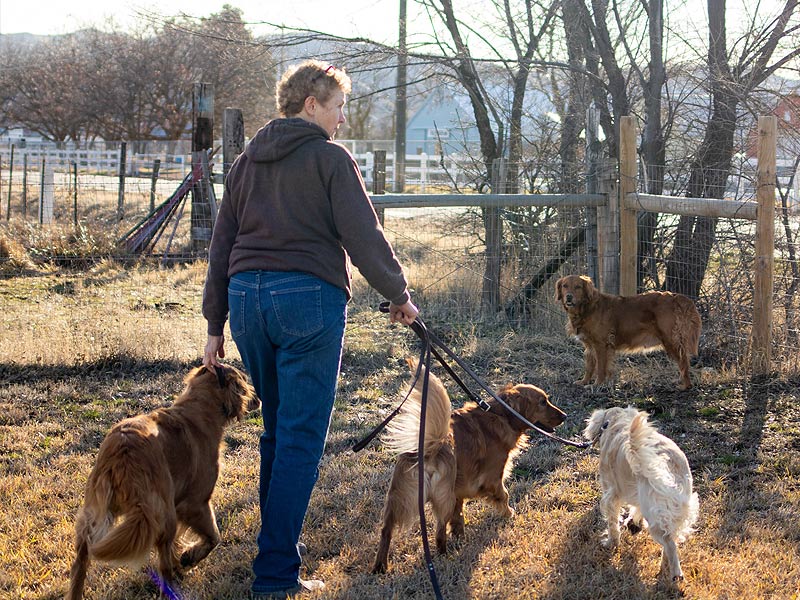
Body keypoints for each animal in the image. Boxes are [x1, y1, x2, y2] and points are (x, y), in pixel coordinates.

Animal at [67, 364, 260, 596]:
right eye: (244, 381)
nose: (258, 398)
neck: (200, 406)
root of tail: (122, 452)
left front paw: (182, 562)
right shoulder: (196, 503)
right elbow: (214, 536)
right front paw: (188, 559)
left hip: (98, 511)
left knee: (82, 557)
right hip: (162, 514)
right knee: (163, 564)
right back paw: (171, 588)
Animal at [372, 358, 564, 576]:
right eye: (543, 401)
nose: (565, 416)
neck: (500, 415)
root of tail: (429, 448)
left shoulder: (459, 490)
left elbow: (459, 516)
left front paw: (460, 535)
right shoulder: (492, 478)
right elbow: (504, 495)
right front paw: (509, 514)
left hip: (399, 498)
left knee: (386, 530)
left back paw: (380, 566)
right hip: (443, 497)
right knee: (439, 533)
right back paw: (444, 556)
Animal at [556, 276, 700, 390]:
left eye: (578, 287)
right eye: (565, 286)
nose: (569, 296)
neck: (587, 308)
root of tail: (675, 296)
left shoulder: (601, 345)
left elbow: (601, 368)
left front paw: (597, 384)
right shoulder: (589, 346)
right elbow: (589, 367)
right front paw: (584, 382)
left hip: (670, 340)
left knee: (684, 361)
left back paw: (685, 386)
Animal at [580, 406, 700, 584]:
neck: (617, 422)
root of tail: (665, 465)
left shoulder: (611, 494)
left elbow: (612, 524)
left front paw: (611, 542)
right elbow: (635, 508)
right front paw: (634, 522)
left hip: (655, 516)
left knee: (670, 544)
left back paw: (674, 574)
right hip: (675, 508)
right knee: (671, 540)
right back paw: (665, 568)